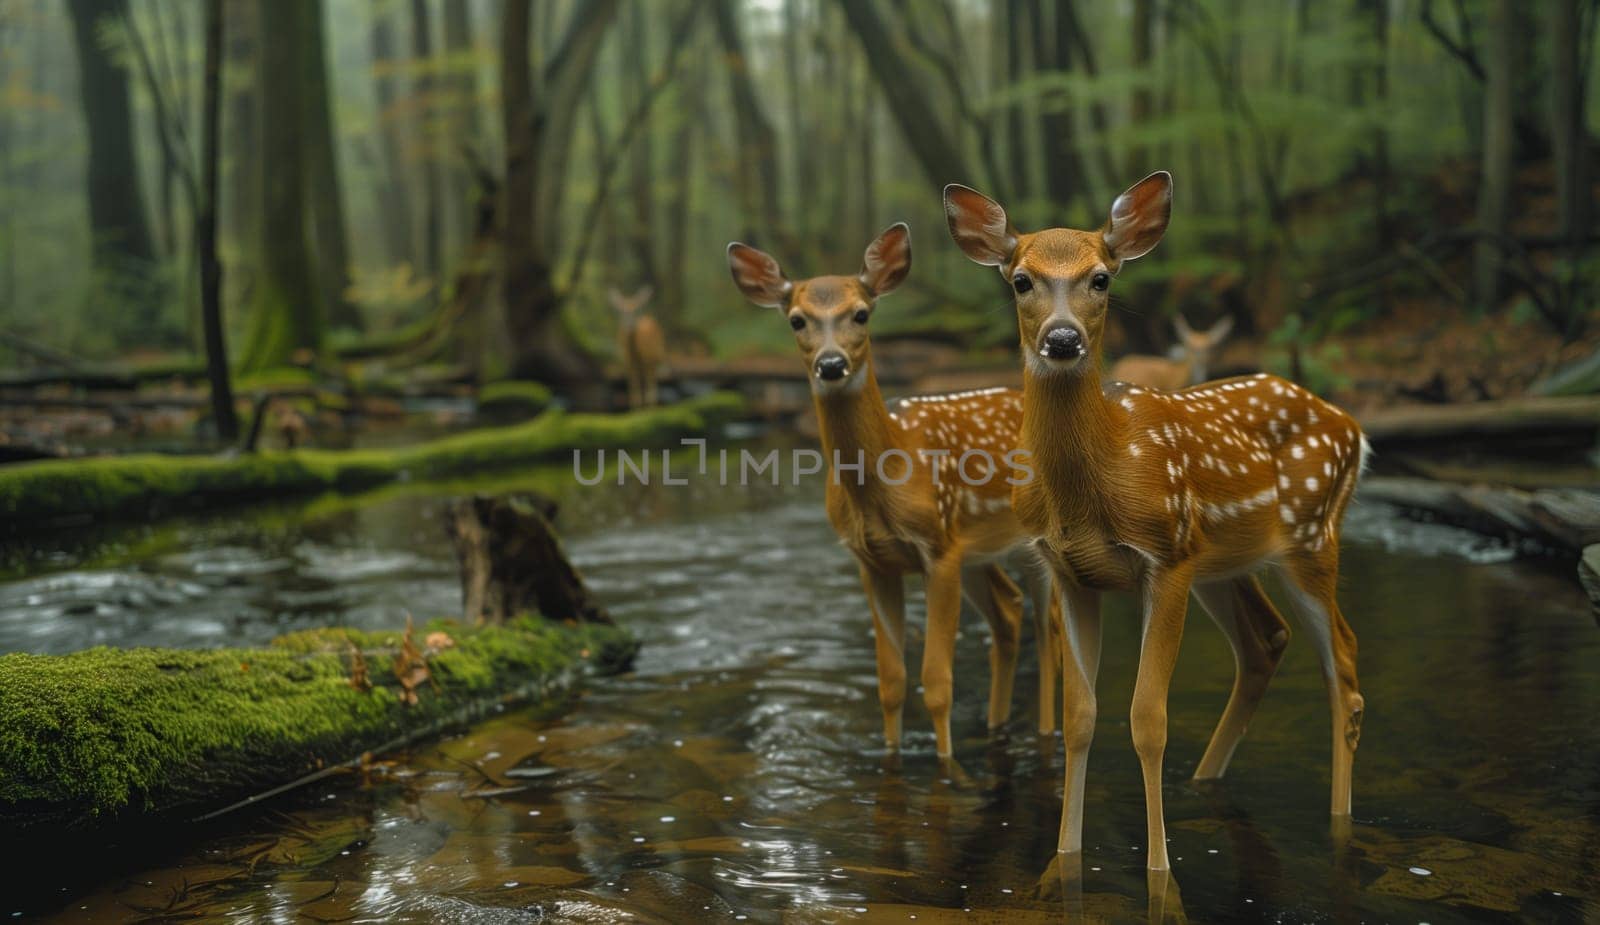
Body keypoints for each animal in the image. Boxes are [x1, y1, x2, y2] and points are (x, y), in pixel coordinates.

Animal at [732, 224, 1068, 755]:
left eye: (861, 313)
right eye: (797, 320)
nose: (831, 364)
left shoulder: (938, 550)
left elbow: (937, 683)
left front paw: (946, 762)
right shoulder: (874, 561)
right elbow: (890, 682)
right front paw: (891, 754)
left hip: (1035, 541)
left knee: (1049, 631)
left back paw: (1045, 732)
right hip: (980, 551)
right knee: (1008, 614)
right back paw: (995, 725)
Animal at [940, 172, 1369, 870]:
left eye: (1100, 278)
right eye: (1021, 280)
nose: (1063, 340)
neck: (1099, 484)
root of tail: (1352, 424)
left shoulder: (1164, 558)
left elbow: (1147, 720)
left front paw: (1160, 871)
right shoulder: (1070, 571)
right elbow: (1081, 717)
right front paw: (1065, 858)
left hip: (1309, 538)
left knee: (1346, 668)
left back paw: (1338, 821)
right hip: (1223, 562)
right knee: (1266, 642)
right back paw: (1207, 780)